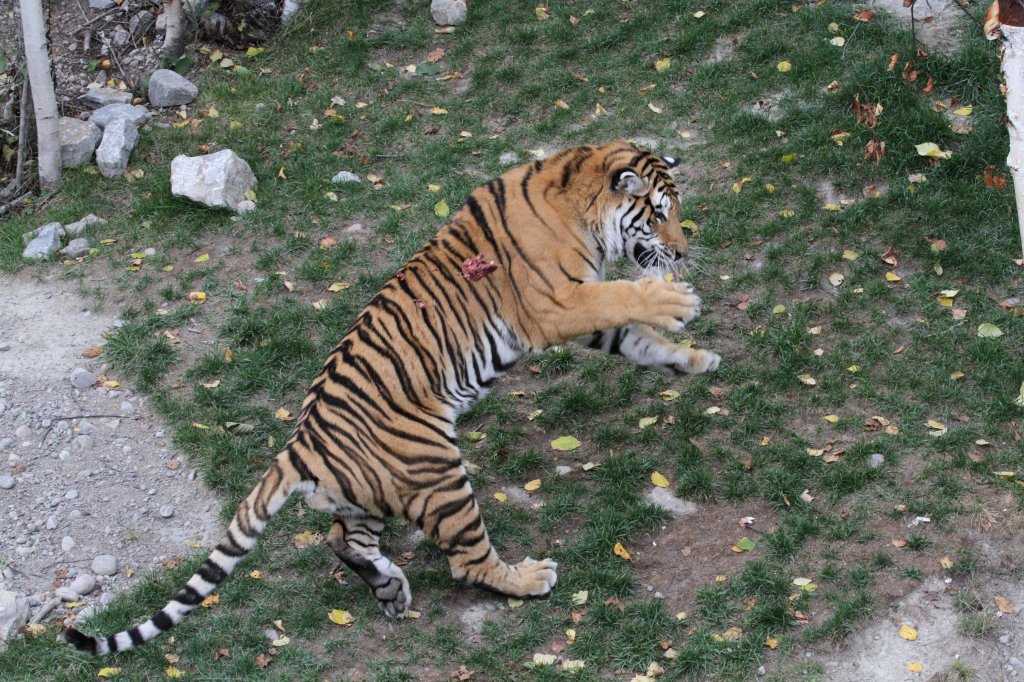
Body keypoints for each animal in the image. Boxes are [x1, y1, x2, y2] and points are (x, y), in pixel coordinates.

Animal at [66, 139, 720, 655]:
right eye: (660, 214)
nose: (685, 251)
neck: (578, 200)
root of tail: (297, 444)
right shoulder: (555, 305)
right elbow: (621, 297)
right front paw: (676, 300)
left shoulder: (577, 315)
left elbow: (635, 338)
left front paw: (695, 360)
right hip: (437, 471)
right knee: (465, 560)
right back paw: (529, 578)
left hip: (371, 496)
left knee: (341, 541)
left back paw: (390, 591)